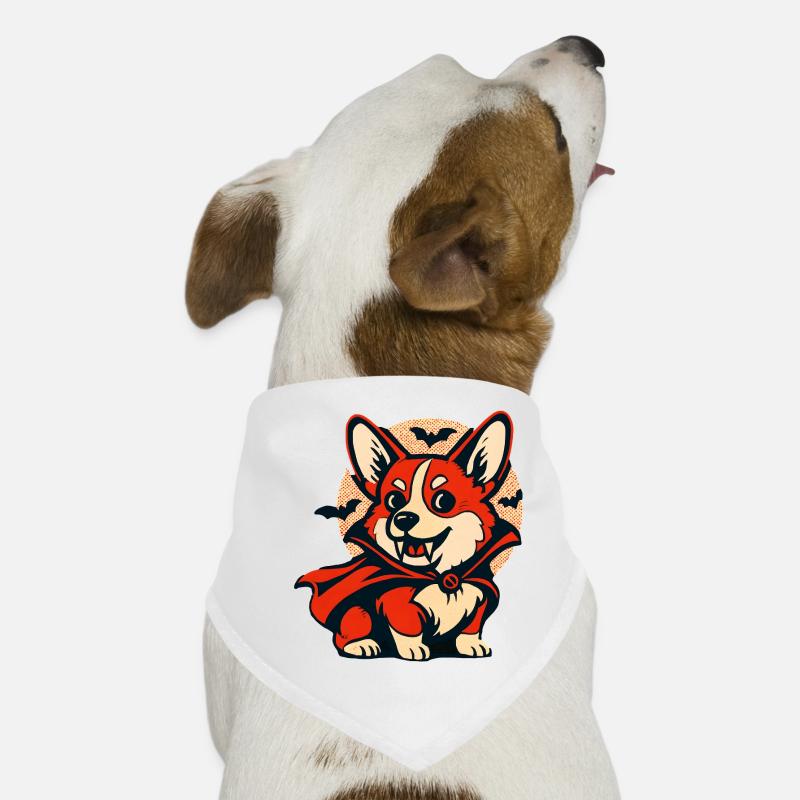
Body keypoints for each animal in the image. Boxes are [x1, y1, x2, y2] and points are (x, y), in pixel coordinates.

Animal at [296, 411, 521, 661]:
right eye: (394, 500)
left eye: (443, 501)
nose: (403, 518)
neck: (440, 576)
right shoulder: (396, 602)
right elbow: (408, 627)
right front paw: (413, 649)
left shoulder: (480, 595)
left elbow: (471, 626)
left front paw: (471, 645)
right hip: (357, 612)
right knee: (344, 633)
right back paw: (361, 644)